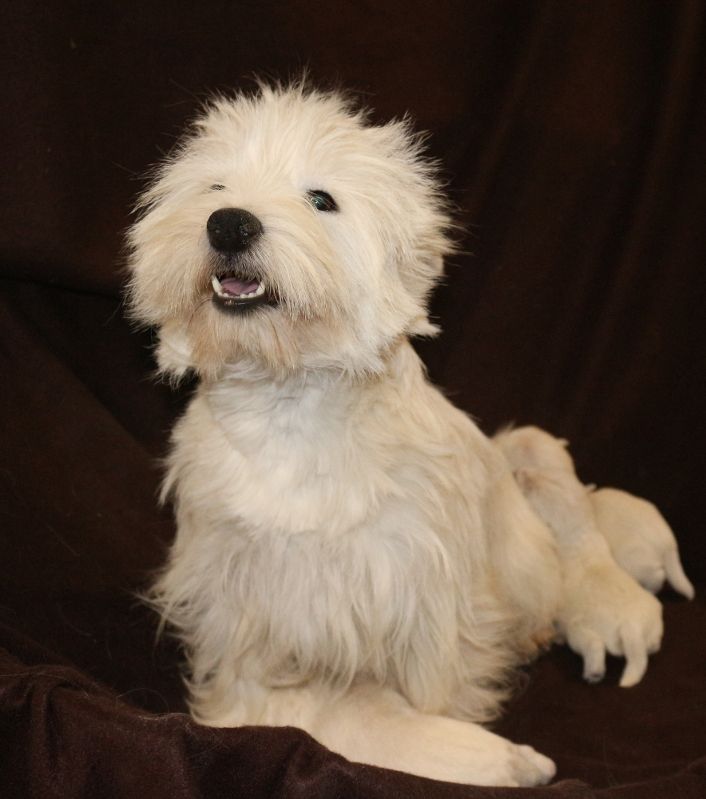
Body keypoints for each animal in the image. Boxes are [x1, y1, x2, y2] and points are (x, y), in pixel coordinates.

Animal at [127, 82, 681, 786]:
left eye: (321, 199)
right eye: (215, 185)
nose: (228, 223)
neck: (289, 401)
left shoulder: (423, 593)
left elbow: (435, 680)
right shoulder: (236, 591)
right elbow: (242, 670)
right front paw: (229, 715)